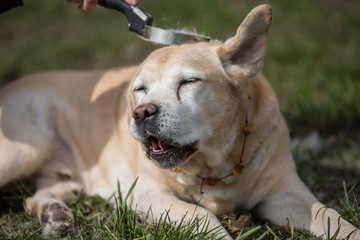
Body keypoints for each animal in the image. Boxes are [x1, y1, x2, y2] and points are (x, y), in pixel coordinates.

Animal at [0, 4, 358, 240]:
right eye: (139, 90)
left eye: (188, 82)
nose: (142, 112)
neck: (215, 165)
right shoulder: (146, 194)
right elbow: (201, 215)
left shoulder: (286, 191)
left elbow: (329, 215)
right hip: (24, 150)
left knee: (37, 196)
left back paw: (55, 214)